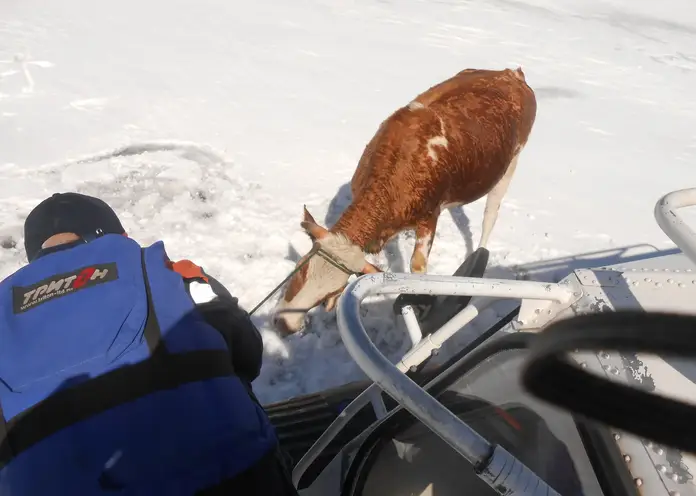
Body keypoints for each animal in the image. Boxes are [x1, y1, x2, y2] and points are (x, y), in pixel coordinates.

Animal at [272, 68, 540, 336]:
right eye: (301, 268)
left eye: (334, 290)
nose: (284, 324)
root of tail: (510, 73)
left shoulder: (429, 218)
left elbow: (417, 266)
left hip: (510, 164)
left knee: (490, 215)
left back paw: (478, 258)